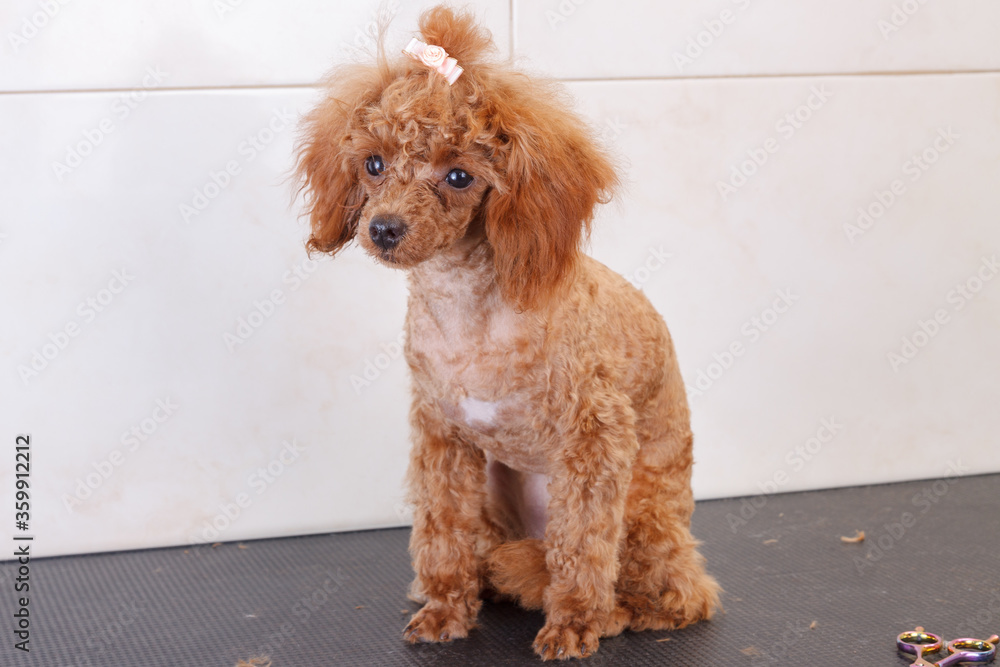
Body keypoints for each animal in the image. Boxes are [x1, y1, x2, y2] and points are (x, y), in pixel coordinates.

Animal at [296, 6, 720, 660]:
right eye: (373, 164)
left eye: (459, 175)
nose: (384, 228)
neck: (468, 312)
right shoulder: (442, 437)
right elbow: (441, 530)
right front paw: (445, 610)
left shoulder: (595, 438)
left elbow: (582, 547)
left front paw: (573, 624)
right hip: (495, 504)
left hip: (643, 520)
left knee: (677, 595)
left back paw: (615, 613)